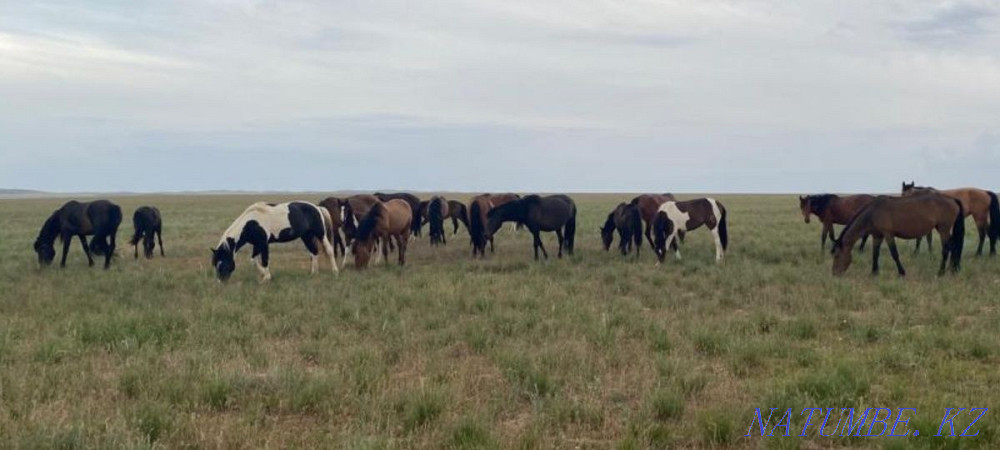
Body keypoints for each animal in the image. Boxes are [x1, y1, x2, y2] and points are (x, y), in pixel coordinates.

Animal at [832, 194, 964, 277]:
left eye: (837, 256)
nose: (834, 274)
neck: (874, 212)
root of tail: (953, 200)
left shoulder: (888, 235)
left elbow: (894, 254)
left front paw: (902, 273)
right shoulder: (877, 236)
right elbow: (875, 254)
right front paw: (874, 272)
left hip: (943, 229)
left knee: (946, 249)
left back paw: (941, 272)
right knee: (953, 247)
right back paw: (954, 269)